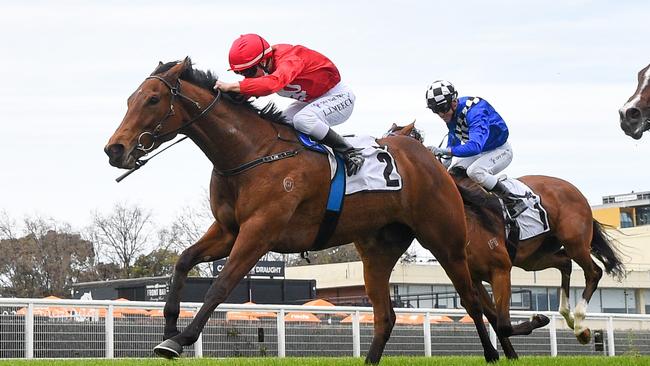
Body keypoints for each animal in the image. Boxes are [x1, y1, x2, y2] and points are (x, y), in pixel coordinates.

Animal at [104, 58, 496, 364]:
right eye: (130, 99)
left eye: (153, 99)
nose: (114, 149)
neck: (251, 151)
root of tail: (432, 159)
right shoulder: (228, 230)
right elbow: (183, 262)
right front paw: (169, 326)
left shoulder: (260, 231)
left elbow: (221, 285)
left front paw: (179, 339)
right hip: (378, 250)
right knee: (386, 316)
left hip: (444, 240)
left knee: (472, 299)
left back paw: (495, 353)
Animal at [388, 123, 624, 348]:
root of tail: (577, 192)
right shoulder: (474, 276)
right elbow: (493, 319)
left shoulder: (500, 269)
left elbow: (503, 325)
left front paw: (539, 320)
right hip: (533, 258)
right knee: (565, 263)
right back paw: (570, 318)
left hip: (575, 243)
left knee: (593, 272)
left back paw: (580, 325)